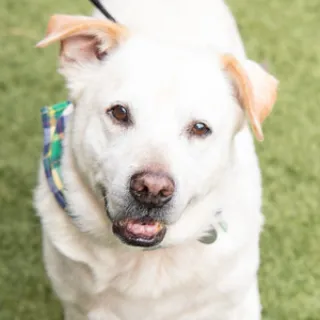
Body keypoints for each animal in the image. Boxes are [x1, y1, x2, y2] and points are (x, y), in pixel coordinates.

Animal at [34, 1, 278, 318]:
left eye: (200, 128)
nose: (152, 190)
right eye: (119, 112)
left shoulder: (238, 303)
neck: (145, 258)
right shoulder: (77, 306)